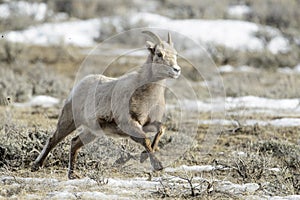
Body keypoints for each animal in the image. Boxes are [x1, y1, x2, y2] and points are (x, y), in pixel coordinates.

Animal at [31, 30, 180, 179]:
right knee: (53, 140)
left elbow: (161, 129)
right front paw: (158, 166)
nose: (176, 70)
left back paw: (72, 175)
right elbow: (146, 141)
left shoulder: (146, 124)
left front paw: (144, 157)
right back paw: (37, 166)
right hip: (68, 121)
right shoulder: (130, 124)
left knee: (74, 142)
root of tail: (78, 86)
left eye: (175, 54)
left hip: (92, 132)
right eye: (159, 54)